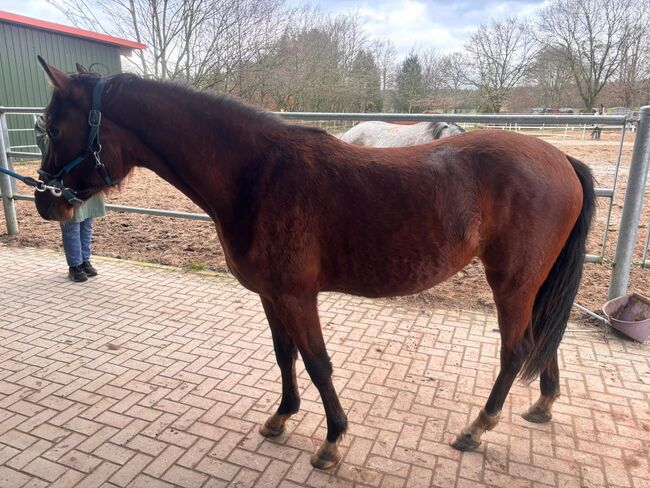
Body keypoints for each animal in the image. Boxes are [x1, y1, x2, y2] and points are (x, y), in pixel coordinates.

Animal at [35, 58, 592, 468]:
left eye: (55, 128)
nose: (45, 202)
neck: (256, 176)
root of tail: (560, 159)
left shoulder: (297, 295)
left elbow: (318, 362)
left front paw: (331, 441)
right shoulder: (270, 294)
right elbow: (286, 356)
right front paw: (282, 418)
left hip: (512, 282)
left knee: (516, 350)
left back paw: (476, 429)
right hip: (532, 283)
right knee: (542, 338)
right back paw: (541, 405)